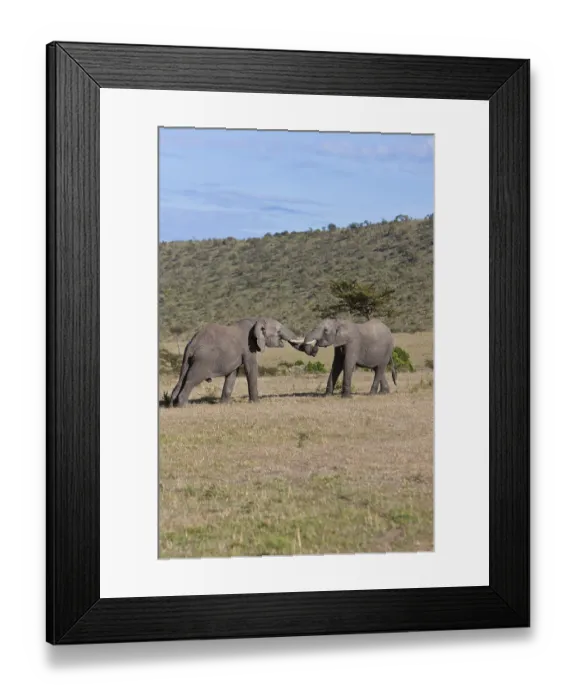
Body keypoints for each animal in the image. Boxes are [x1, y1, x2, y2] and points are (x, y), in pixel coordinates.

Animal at [169, 317, 301, 406]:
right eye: (278, 331)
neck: (255, 320)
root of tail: (192, 343)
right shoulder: (248, 347)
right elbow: (251, 368)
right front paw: (256, 403)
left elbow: (232, 374)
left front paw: (224, 404)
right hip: (203, 360)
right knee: (192, 379)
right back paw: (183, 405)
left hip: (187, 359)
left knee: (182, 378)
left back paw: (171, 404)